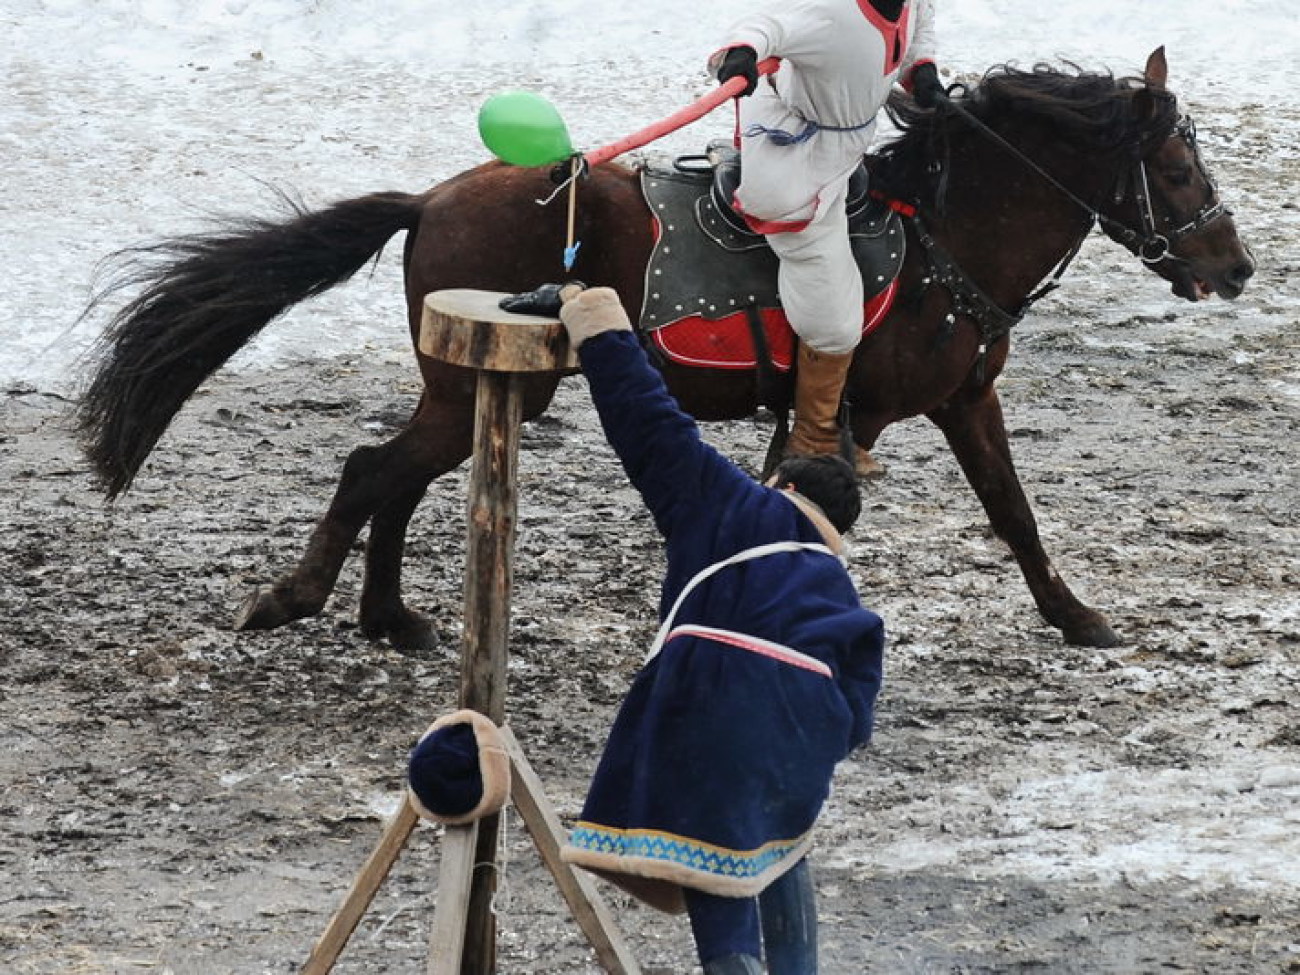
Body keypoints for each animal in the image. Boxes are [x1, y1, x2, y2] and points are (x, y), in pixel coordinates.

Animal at [76, 47, 1253, 657]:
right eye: (1179, 169)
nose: (1234, 266)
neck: (942, 236)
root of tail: (431, 199)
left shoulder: (967, 401)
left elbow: (1013, 512)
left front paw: (1077, 616)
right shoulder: (849, 407)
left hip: (477, 386)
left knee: (395, 476)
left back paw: (388, 617)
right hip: (481, 385)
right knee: (375, 470)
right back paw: (300, 598)